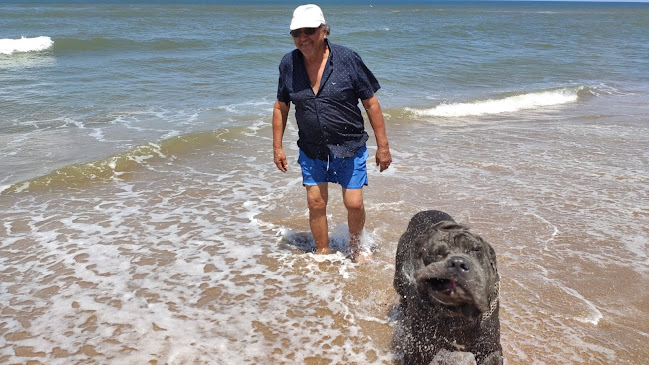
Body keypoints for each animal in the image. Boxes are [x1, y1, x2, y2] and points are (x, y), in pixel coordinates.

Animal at [392, 210, 504, 364]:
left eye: (476, 250)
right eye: (436, 252)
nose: (458, 262)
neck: (458, 315)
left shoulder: (489, 348)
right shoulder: (420, 349)